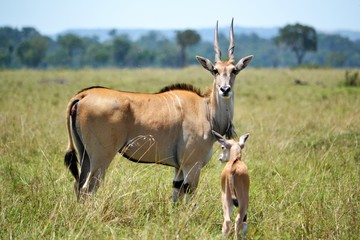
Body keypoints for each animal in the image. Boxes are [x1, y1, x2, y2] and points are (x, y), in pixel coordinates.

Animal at [64, 19, 253, 201]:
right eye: (215, 70)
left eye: (234, 70)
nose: (225, 89)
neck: (205, 110)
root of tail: (83, 95)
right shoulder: (192, 165)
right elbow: (188, 199)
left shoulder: (178, 168)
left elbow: (176, 197)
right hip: (101, 157)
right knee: (88, 189)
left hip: (85, 155)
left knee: (78, 187)